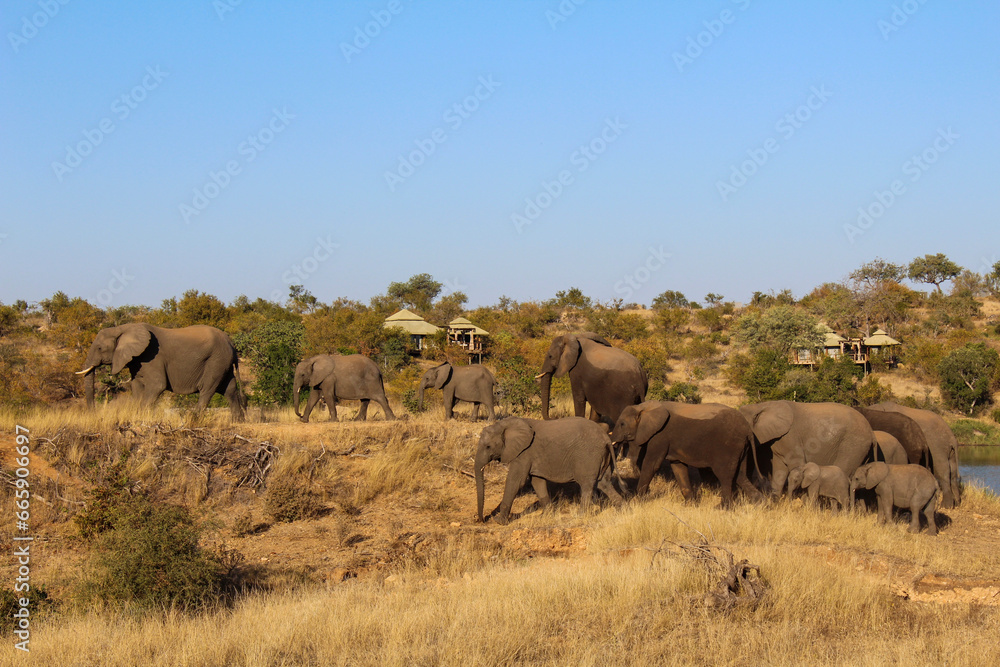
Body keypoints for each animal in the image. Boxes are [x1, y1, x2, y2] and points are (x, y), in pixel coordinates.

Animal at [75, 322, 244, 418]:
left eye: (99, 348)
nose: (94, 415)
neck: (122, 328)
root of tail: (231, 342)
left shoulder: (152, 357)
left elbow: (157, 385)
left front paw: (141, 418)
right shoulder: (136, 361)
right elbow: (136, 386)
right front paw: (138, 416)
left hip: (215, 360)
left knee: (207, 389)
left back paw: (194, 419)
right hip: (222, 362)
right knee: (229, 389)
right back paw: (238, 421)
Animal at [474, 414, 620, 524]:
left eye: (488, 446)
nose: (481, 519)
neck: (504, 424)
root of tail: (606, 437)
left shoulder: (524, 453)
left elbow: (515, 481)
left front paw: (499, 521)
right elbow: (537, 481)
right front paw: (546, 515)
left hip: (588, 455)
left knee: (587, 485)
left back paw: (580, 516)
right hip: (602, 456)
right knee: (604, 483)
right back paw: (622, 509)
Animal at [608, 402, 756, 506]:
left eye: (622, 424)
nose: (626, 489)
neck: (644, 407)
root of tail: (747, 429)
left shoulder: (660, 436)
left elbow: (652, 465)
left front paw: (638, 500)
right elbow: (678, 467)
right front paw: (689, 505)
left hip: (728, 446)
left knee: (725, 476)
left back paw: (723, 507)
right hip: (740, 448)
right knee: (740, 476)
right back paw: (758, 503)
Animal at [740, 400, 872, 498]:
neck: (761, 406)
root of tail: (872, 434)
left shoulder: (791, 436)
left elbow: (797, 464)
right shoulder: (778, 440)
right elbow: (779, 469)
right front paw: (775, 502)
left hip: (853, 446)